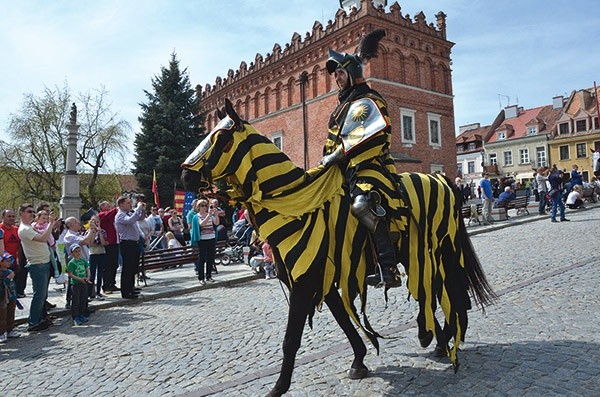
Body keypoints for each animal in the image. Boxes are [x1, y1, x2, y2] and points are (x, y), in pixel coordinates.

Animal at [179, 98, 496, 392]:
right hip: (419, 253)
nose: (185, 175)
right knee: (433, 291)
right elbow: (344, 320)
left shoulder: (305, 283)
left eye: (222, 138)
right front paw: (359, 360)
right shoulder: (324, 280)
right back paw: (436, 338)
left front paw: (278, 387)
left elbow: (291, 339)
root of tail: (442, 180)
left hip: (441, 249)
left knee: (451, 291)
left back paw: (444, 335)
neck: (298, 210)